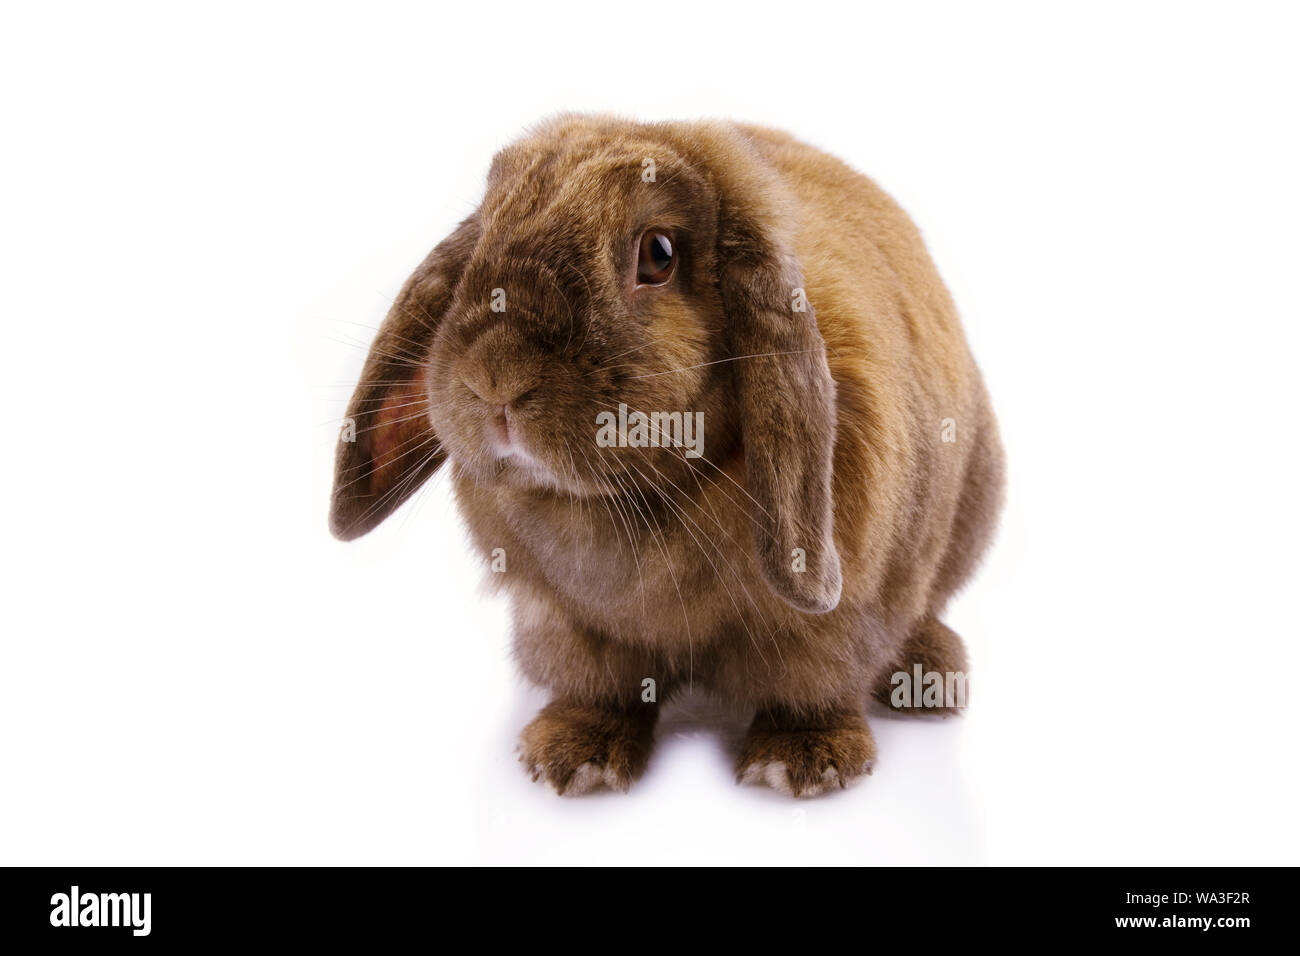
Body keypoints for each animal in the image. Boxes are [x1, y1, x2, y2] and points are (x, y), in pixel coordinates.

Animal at [330, 114, 1004, 797]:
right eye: (486, 229)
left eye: (657, 255)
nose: (495, 378)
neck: (633, 500)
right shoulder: (570, 623)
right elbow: (600, 688)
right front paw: (575, 756)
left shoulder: (832, 622)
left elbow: (812, 683)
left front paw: (801, 761)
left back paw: (932, 675)